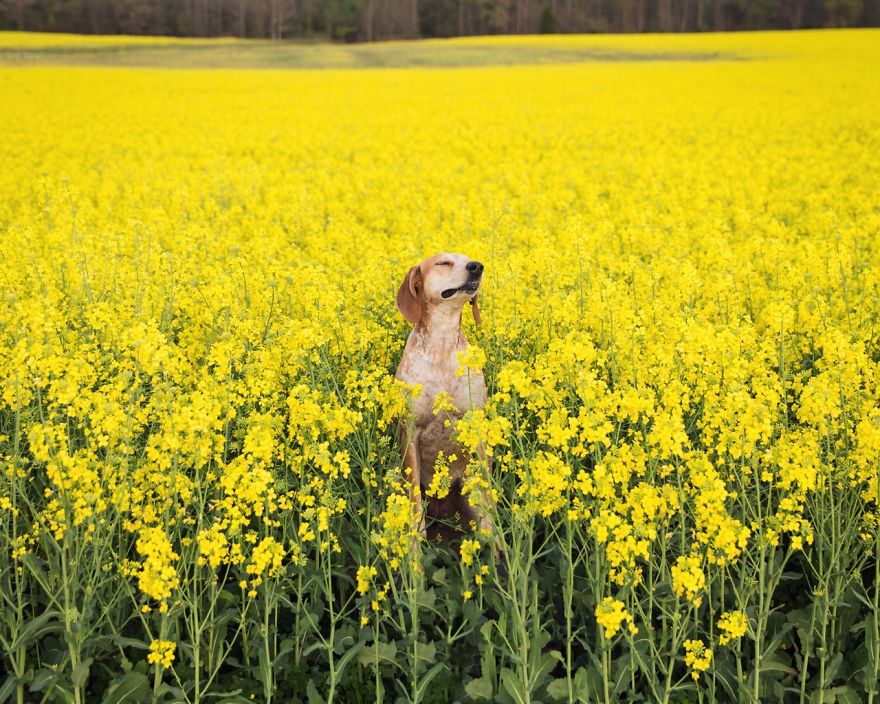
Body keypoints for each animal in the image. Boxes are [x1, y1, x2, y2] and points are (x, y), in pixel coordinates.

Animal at [394, 256, 496, 548]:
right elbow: (416, 506)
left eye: (468, 259)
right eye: (443, 262)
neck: (442, 343)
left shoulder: (475, 425)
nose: (477, 266)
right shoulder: (410, 433)